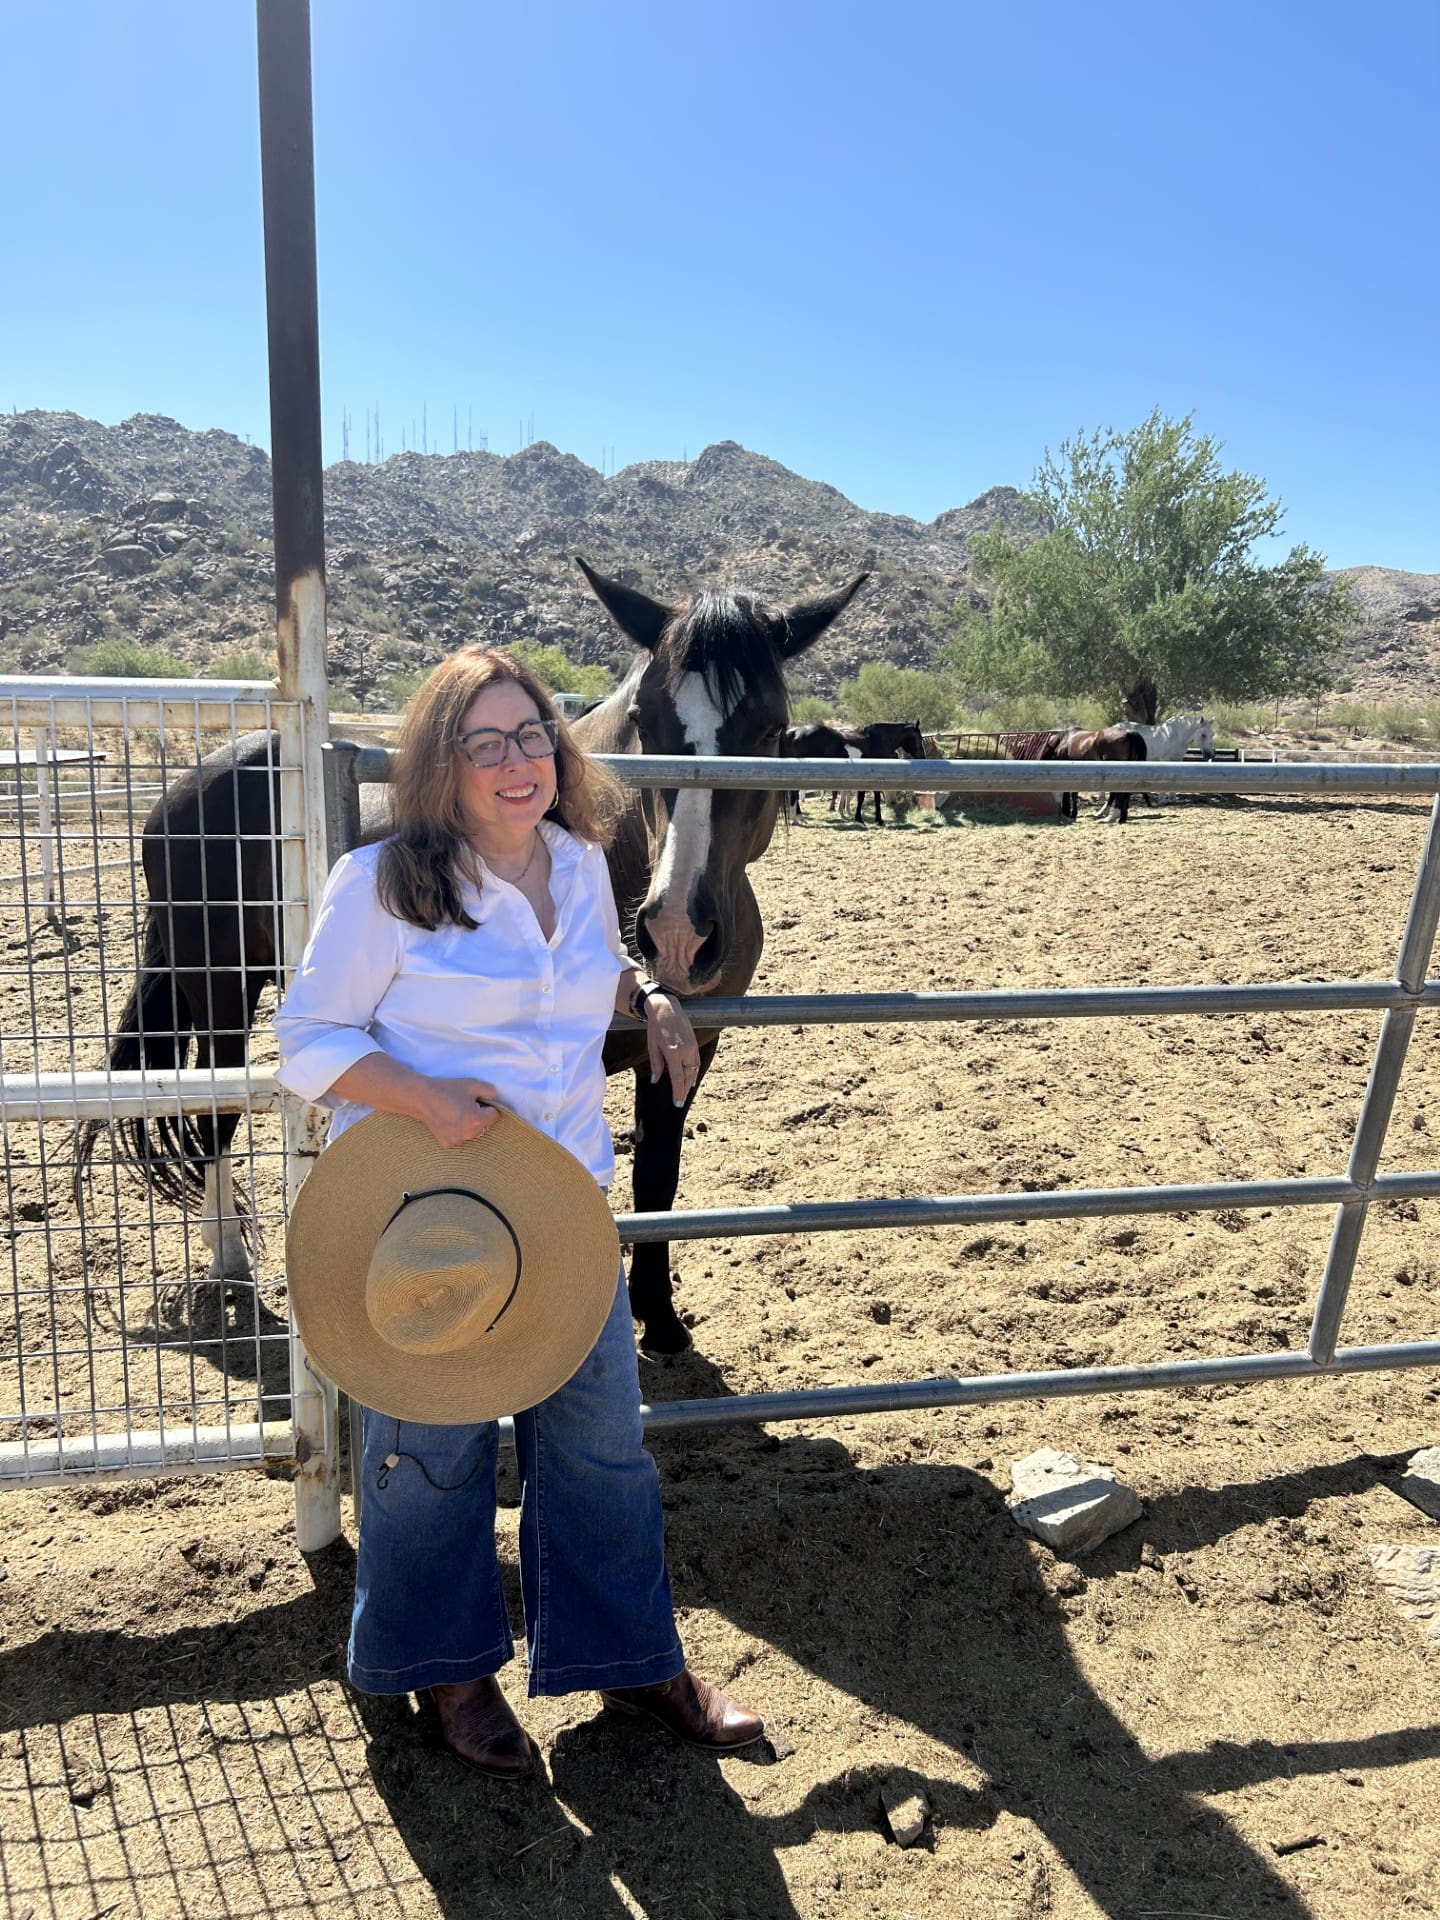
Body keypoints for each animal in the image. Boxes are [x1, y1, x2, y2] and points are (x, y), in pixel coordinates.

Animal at [76, 560, 867, 1359]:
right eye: (648, 720)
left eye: (769, 727)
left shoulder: (685, 1049)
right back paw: (233, 1262)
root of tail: (185, 787)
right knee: (216, 1116)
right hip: (220, 994)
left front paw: (660, 1317)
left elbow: (657, 1177)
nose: (676, 932)